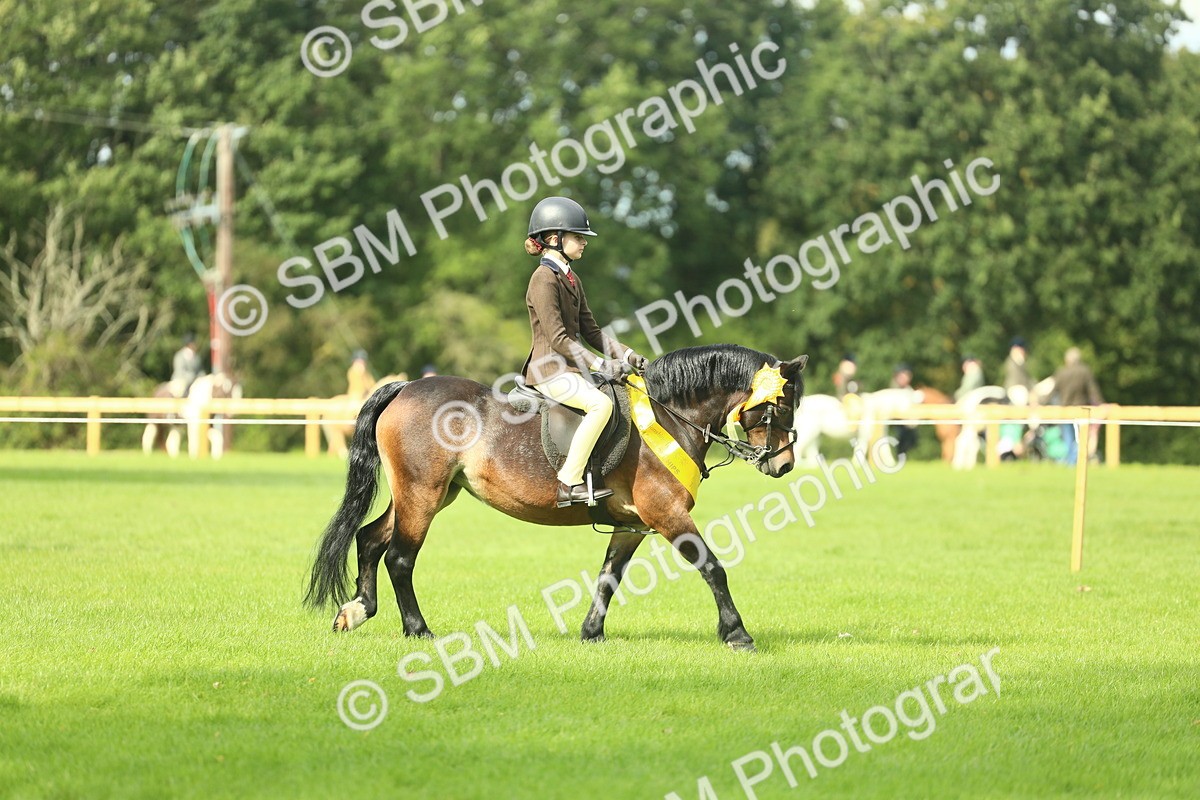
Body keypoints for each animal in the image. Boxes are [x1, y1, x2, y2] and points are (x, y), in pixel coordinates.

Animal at [304, 344, 808, 651]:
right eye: (782, 405)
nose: (783, 464)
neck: (670, 415)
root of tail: (405, 387)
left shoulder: (632, 525)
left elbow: (608, 579)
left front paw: (591, 633)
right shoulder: (667, 514)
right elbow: (712, 567)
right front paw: (737, 633)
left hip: (430, 494)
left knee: (370, 538)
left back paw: (356, 611)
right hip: (422, 495)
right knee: (399, 557)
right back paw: (418, 629)